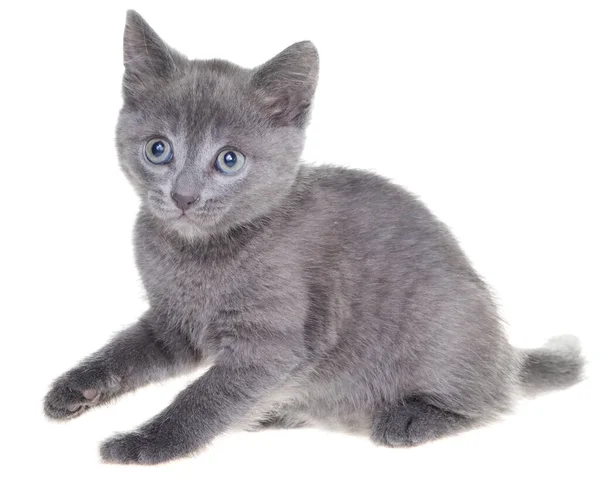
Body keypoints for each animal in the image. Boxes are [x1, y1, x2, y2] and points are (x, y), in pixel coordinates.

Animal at [44, 8, 584, 464]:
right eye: (159, 149)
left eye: (229, 160)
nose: (183, 196)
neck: (198, 253)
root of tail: (506, 352)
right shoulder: (173, 324)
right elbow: (126, 352)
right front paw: (75, 388)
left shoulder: (273, 345)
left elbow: (205, 397)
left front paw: (144, 443)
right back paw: (277, 412)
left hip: (444, 322)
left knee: (490, 401)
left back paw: (410, 418)